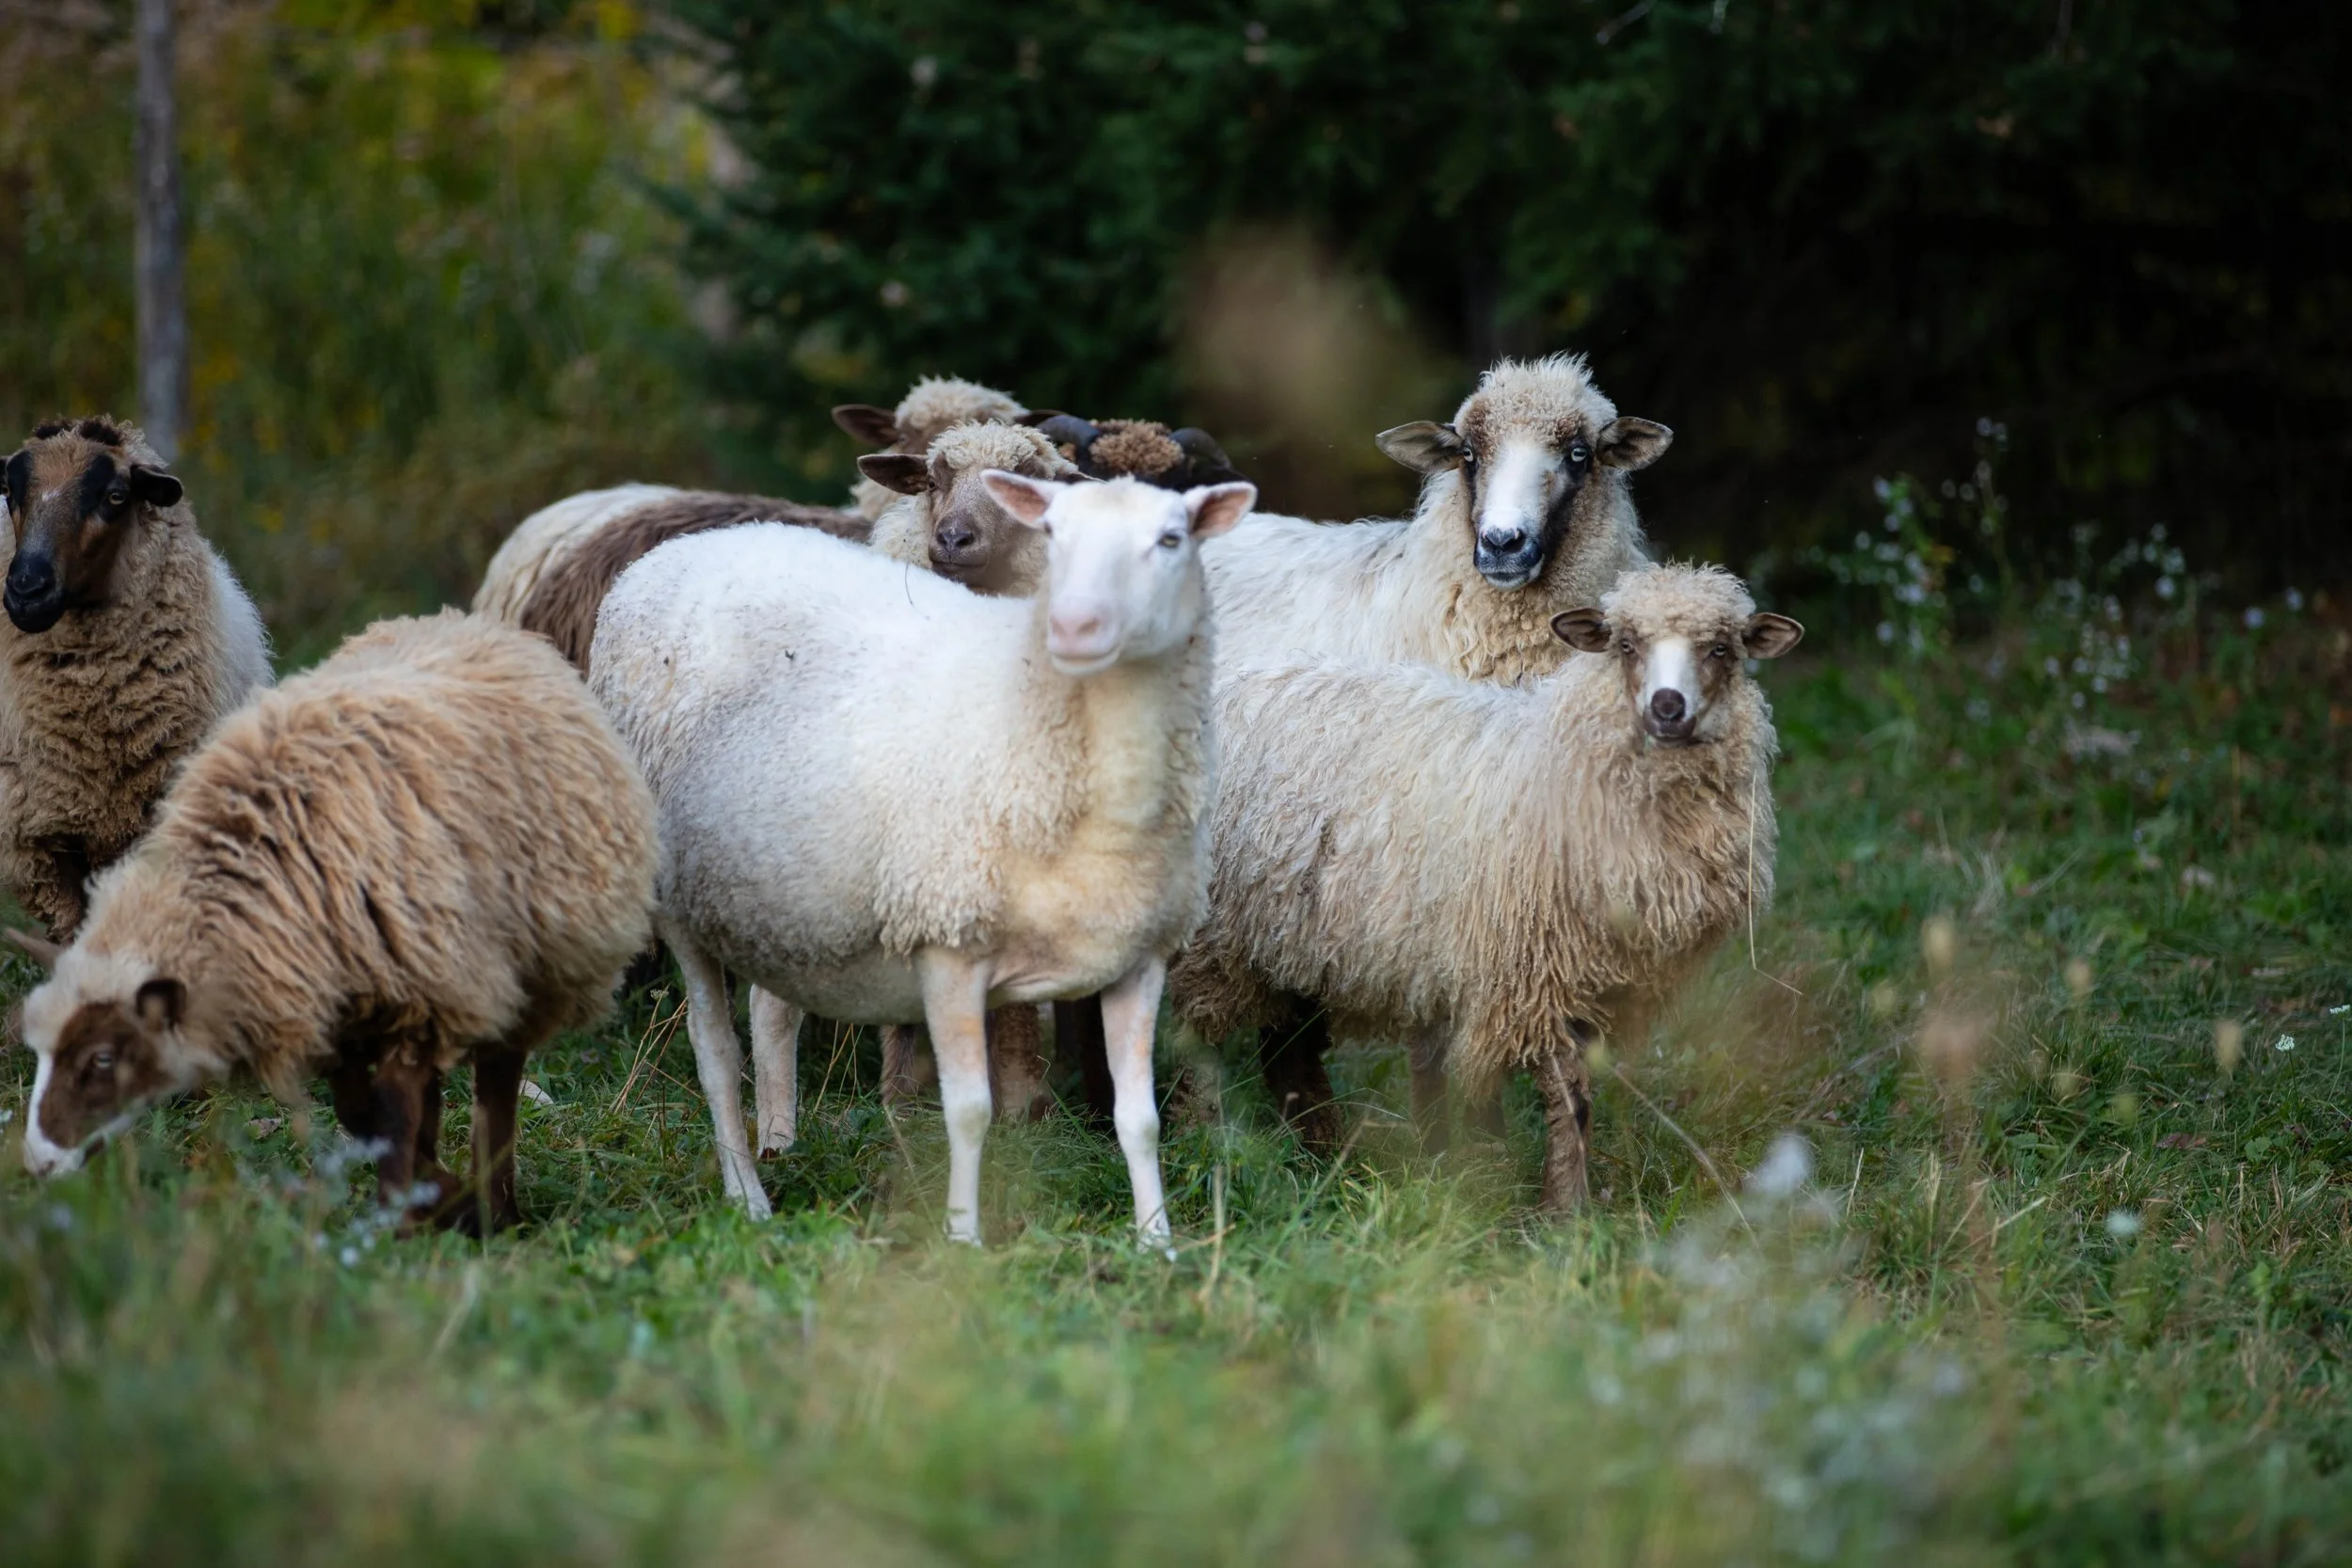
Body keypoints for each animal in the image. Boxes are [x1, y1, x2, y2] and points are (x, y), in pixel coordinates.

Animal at [13, 610, 657, 1233]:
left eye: (101, 1059)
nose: (38, 1163)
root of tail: (472, 624)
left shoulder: (420, 993)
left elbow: (394, 1112)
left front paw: (417, 1214)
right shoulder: (337, 1005)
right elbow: (364, 1113)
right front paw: (430, 1200)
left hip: (527, 964)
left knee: (496, 1085)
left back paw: (498, 1208)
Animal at [589, 473, 1255, 1238]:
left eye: (1171, 539)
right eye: (1052, 534)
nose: (1074, 627)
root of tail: (673, 554)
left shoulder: (1139, 957)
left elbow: (1138, 1118)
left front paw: (1157, 1241)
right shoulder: (948, 944)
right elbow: (968, 1112)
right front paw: (963, 1236)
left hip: (776, 892)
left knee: (771, 1009)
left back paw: (779, 1142)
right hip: (679, 897)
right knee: (714, 1051)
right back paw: (747, 1195)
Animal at [1167, 563, 1801, 1210]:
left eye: (1721, 649)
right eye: (1625, 645)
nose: (1667, 707)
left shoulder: (1590, 979)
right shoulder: (1530, 974)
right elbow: (1567, 1092)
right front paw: (1561, 1209)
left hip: (1290, 938)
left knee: (1287, 1054)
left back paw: (1325, 1163)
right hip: (1219, 937)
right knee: (1200, 1040)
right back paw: (1206, 1142)